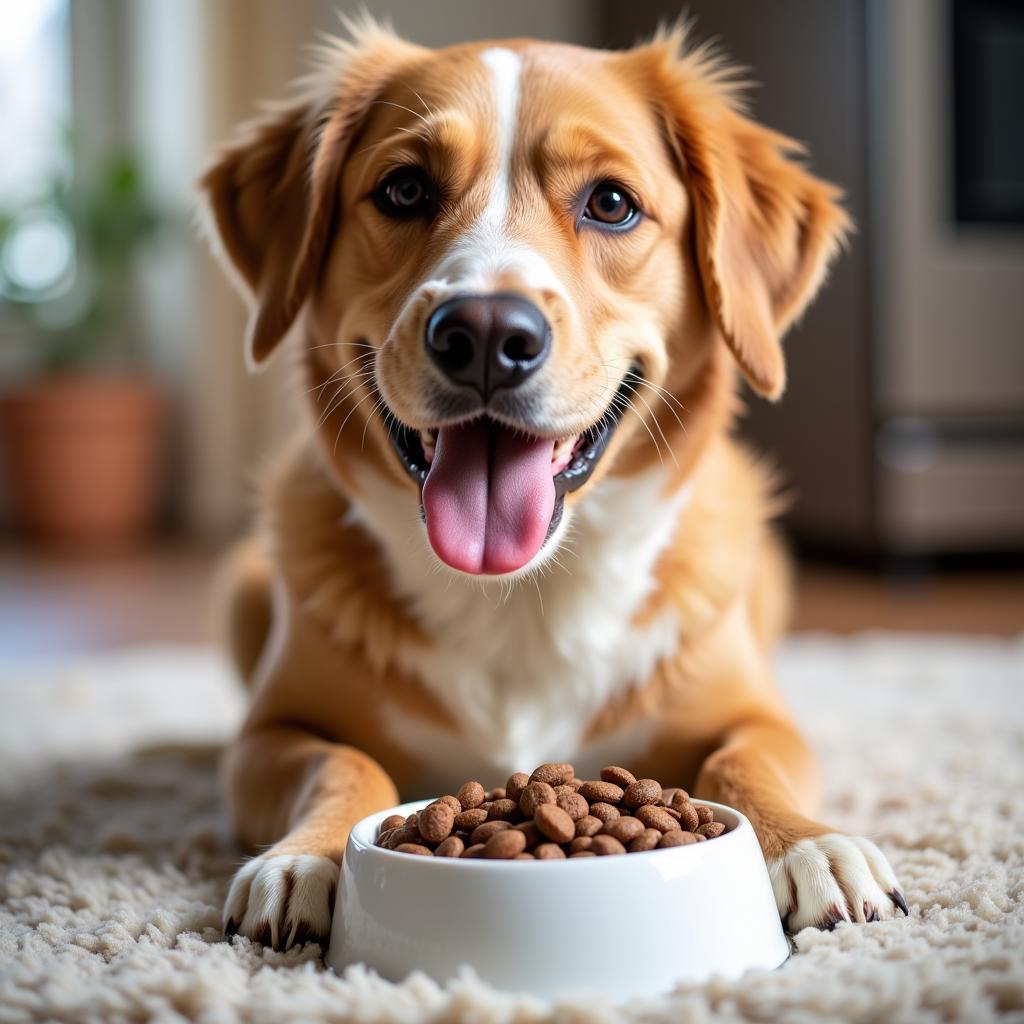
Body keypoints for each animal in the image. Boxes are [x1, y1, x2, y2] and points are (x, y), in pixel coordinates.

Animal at [197, 19, 905, 950]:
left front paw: (812, 845)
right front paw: (305, 857)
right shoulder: (268, 734)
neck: (520, 597)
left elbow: (743, 761)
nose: (485, 333)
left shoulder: (762, 718)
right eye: (404, 189)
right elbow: (344, 764)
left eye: (611, 203)